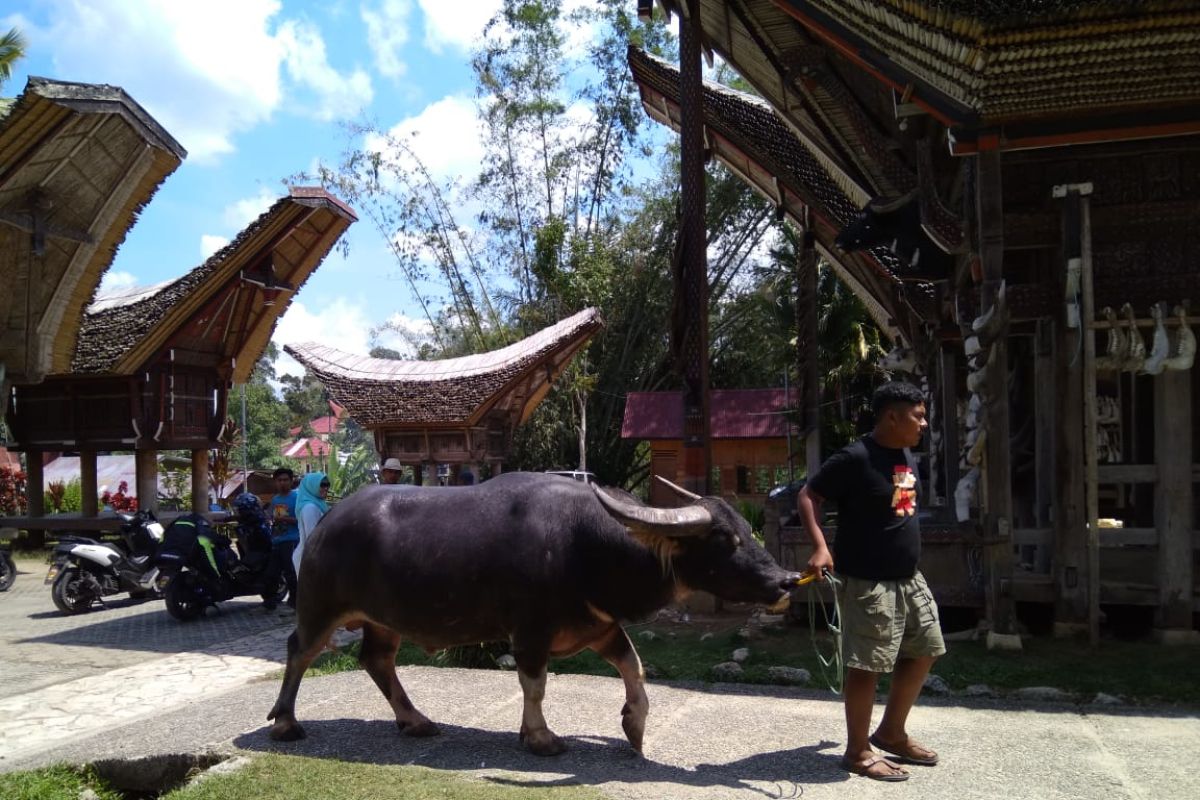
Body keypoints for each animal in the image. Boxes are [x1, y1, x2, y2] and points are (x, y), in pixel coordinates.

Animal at [267, 474, 801, 758]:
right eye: (726, 540)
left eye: (747, 530)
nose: (786, 581)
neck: (587, 545)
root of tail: (325, 524)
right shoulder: (530, 633)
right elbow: (536, 684)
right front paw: (540, 737)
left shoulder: (599, 625)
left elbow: (635, 668)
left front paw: (634, 725)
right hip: (319, 607)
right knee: (299, 652)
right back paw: (286, 723)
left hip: (384, 620)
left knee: (377, 660)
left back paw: (415, 720)